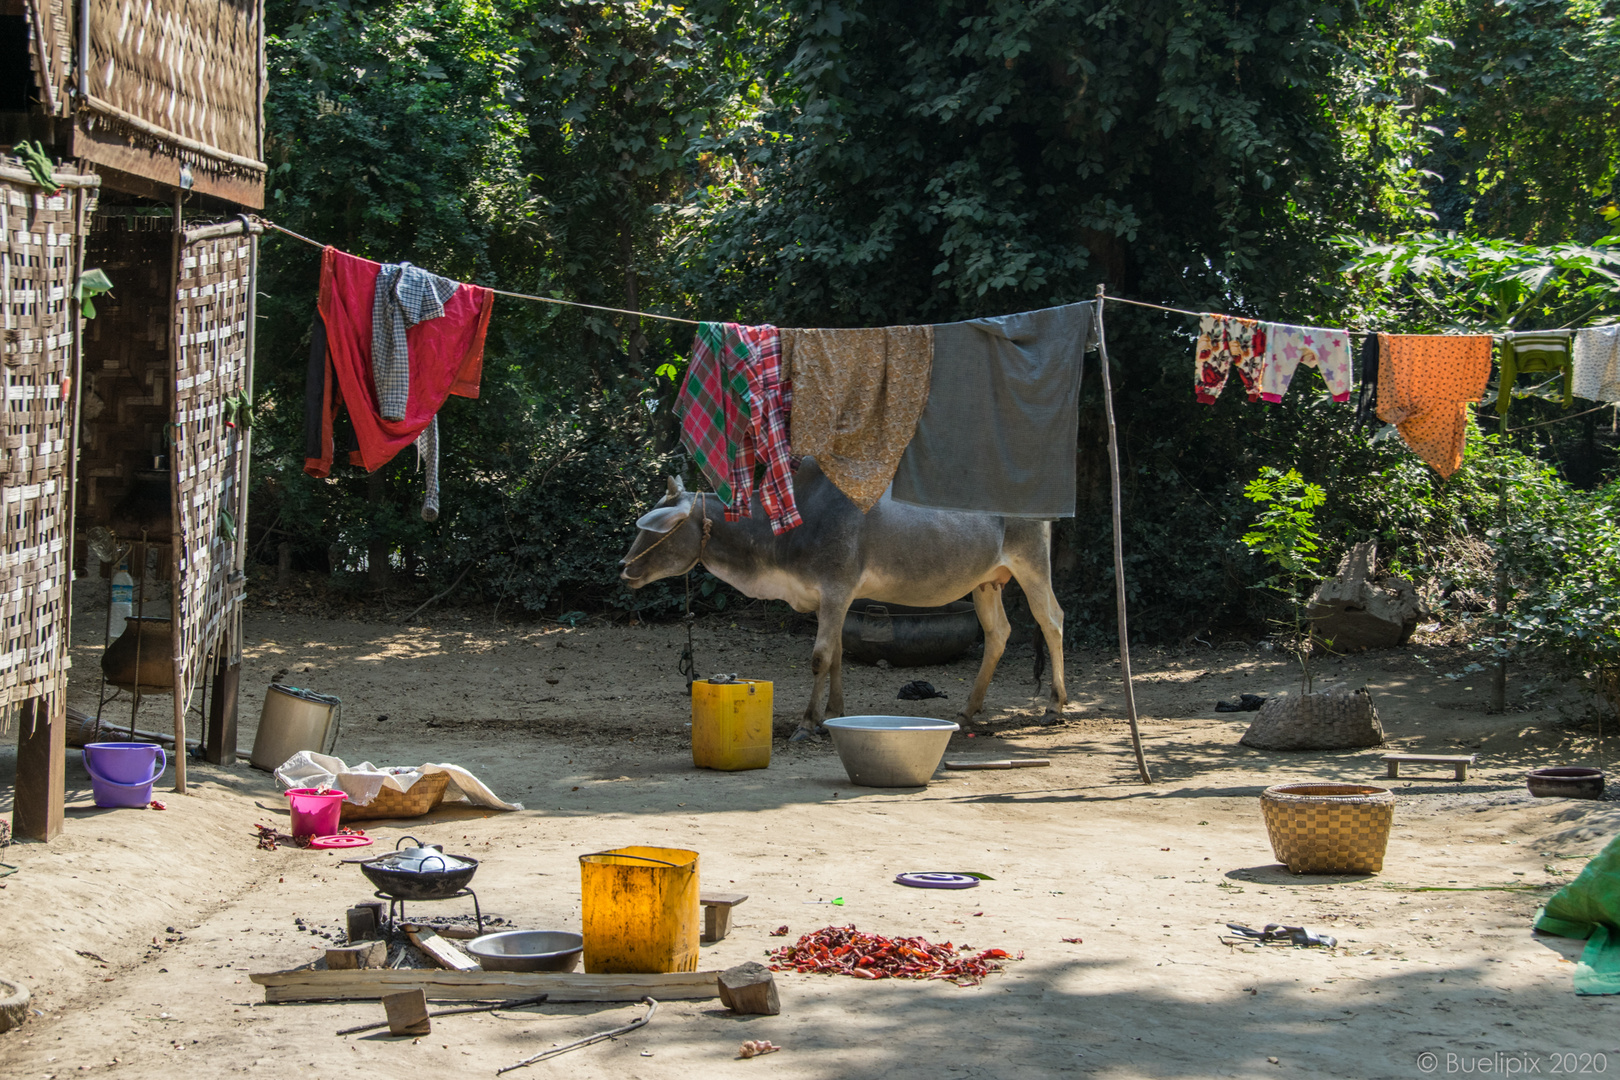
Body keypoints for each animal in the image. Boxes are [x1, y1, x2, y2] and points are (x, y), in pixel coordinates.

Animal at [615, 459, 1062, 738]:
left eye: (656, 529)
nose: (623, 566)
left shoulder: (835, 590)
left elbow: (819, 657)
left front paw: (806, 723)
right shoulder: (831, 599)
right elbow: (837, 656)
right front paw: (835, 714)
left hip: (1032, 564)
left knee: (1051, 620)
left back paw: (1055, 705)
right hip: (986, 581)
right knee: (998, 632)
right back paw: (969, 710)